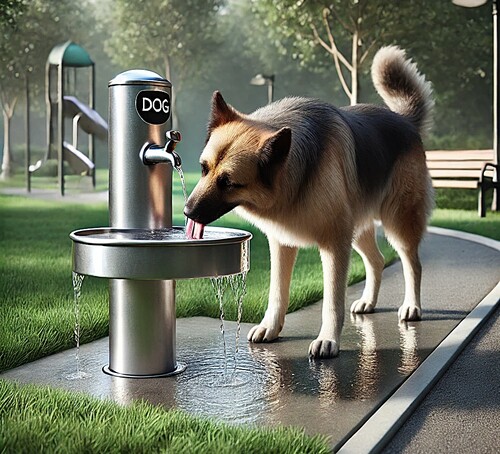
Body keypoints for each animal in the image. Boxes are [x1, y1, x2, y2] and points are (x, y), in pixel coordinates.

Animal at [184, 46, 434, 358]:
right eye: (203, 168)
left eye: (228, 182)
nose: (187, 211)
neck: (297, 173)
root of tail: (404, 121)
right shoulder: (282, 243)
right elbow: (277, 293)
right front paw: (271, 327)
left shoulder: (334, 246)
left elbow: (332, 301)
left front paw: (328, 339)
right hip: (358, 230)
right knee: (376, 261)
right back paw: (368, 301)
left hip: (397, 223)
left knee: (413, 264)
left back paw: (412, 306)